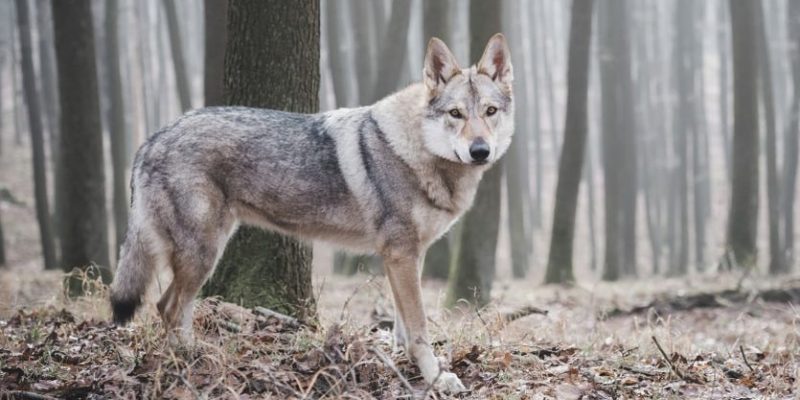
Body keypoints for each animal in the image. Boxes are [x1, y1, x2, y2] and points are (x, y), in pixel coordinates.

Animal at [109, 32, 516, 392]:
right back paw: (191, 364)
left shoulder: (408, 257)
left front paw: (409, 369)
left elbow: (404, 327)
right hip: (204, 255)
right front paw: (436, 379)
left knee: (169, 307)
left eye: (490, 112)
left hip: (202, 256)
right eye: (456, 114)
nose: (480, 150)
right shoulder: (400, 254)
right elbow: (419, 329)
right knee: (168, 308)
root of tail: (152, 139)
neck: (416, 151)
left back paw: (192, 357)